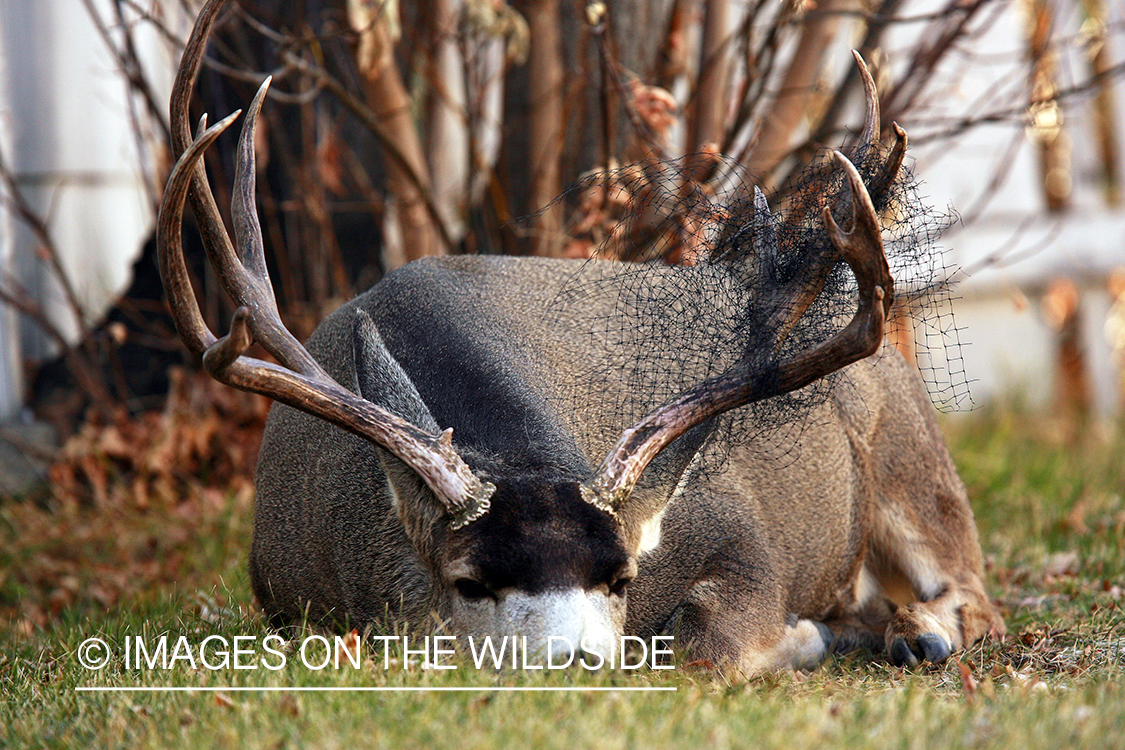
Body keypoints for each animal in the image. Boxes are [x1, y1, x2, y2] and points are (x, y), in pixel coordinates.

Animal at [159, 0, 1003, 677]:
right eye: (468, 582)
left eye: (620, 577)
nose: (574, 661)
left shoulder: (735, 529)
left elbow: (706, 643)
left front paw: (805, 636)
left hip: (910, 455)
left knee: (972, 589)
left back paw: (914, 632)